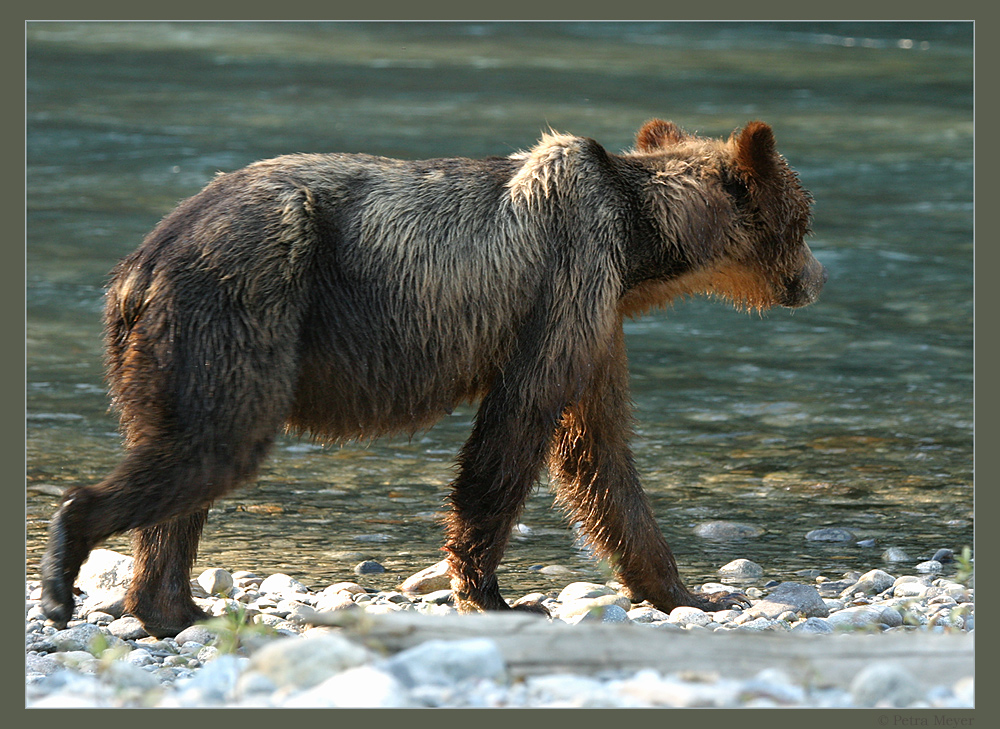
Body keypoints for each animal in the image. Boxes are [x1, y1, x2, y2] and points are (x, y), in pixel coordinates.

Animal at [39, 116, 824, 636]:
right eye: (806, 219)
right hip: (241, 303)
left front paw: (691, 593)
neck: (642, 246)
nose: (818, 278)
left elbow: (601, 453)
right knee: (211, 446)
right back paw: (69, 564)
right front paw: (496, 591)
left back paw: (173, 608)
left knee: (183, 474)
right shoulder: (567, 277)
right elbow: (517, 429)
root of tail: (136, 267)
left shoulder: (601, 320)